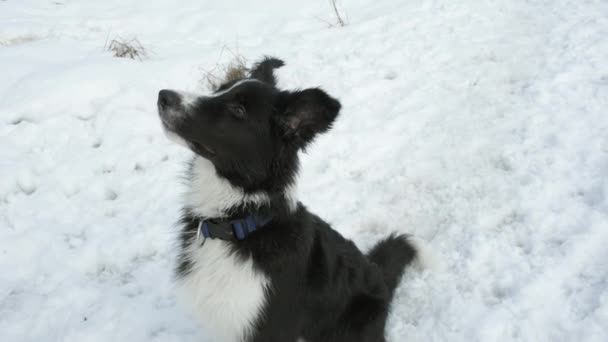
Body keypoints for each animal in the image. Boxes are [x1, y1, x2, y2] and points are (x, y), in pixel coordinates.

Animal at [158, 56, 418, 342]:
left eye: (238, 110)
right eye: (219, 89)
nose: (164, 97)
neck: (237, 222)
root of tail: (379, 276)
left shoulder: (270, 329)